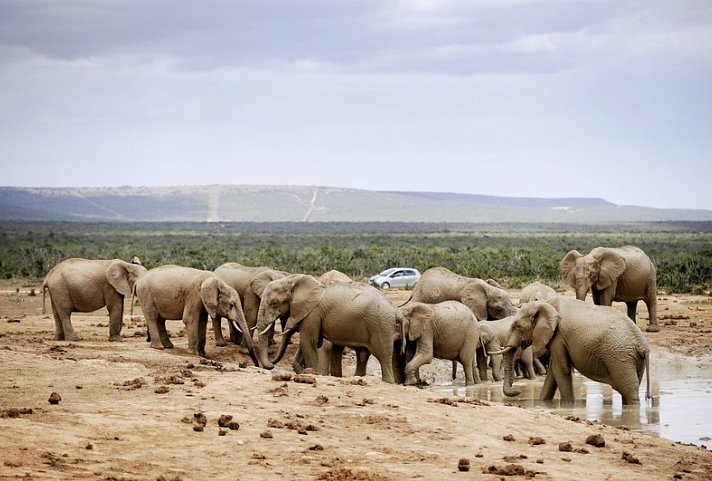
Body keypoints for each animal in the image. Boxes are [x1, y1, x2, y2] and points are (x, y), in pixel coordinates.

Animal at [253, 274, 404, 382]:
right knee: (364, 355)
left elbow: (309, 342)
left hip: (381, 325)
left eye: (274, 303)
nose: (271, 365)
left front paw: (313, 373)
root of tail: (396, 312)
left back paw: (388, 382)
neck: (293, 279)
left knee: (383, 356)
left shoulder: (312, 313)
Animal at [496, 296, 652, 404]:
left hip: (620, 358)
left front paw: (568, 406)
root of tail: (643, 345)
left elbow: (561, 369)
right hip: (631, 359)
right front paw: (543, 403)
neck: (546, 303)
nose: (518, 390)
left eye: (517, 326)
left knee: (629, 392)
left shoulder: (559, 336)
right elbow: (553, 371)